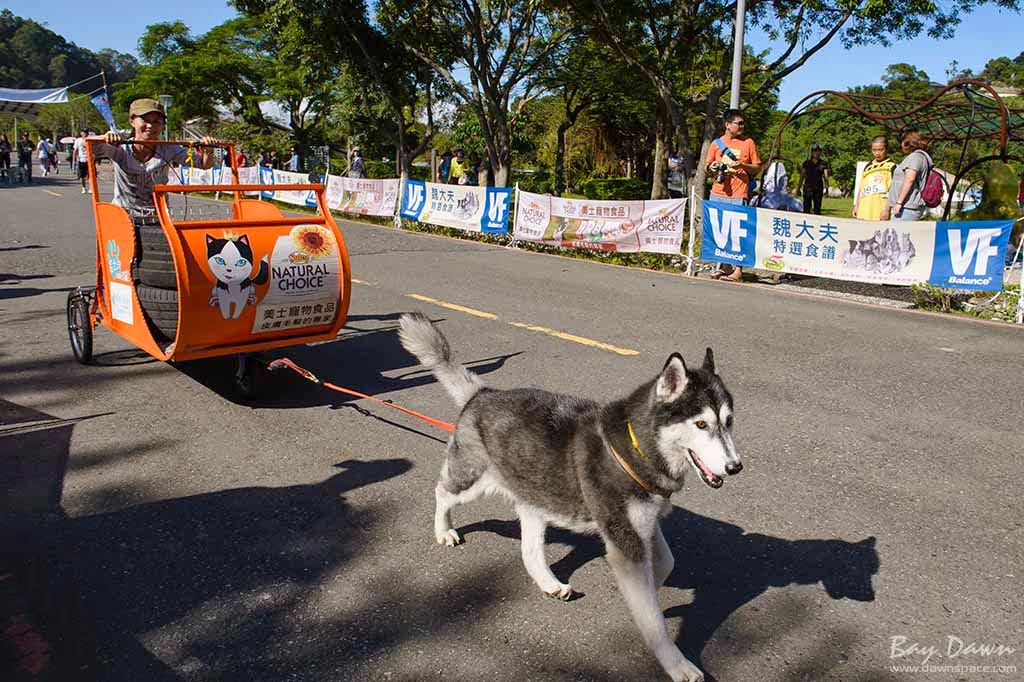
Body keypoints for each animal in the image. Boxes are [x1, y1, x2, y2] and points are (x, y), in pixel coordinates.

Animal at [399, 313, 745, 679]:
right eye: (701, 425)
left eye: (728, 422)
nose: (735, 466)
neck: (634, 447)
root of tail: (482, 393)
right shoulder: (626, 540)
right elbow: (654, 623)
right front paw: (676, 663)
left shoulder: (643, 525)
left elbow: (666, 563)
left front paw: (654, 592)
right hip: (472, 482)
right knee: (442, 492)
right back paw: (443, 530)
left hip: (536, 497)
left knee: (529, 551)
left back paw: (549, 583)